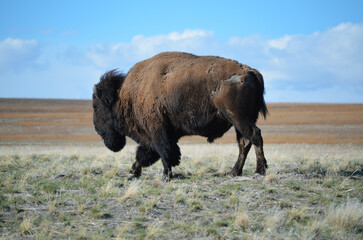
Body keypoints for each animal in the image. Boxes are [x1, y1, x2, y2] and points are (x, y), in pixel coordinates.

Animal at [92, 51, 268, 181]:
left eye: (97, 107)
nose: (97, 129)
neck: (126, 94)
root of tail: (250, 71)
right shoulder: (157, 133)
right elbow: (146, 153)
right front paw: (132, 173)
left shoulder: (157, 129)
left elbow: (164, 152)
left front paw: (165, 176)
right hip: (240, 121)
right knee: (244, 142)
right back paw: (234, 172)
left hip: (238, 118)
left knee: (255, 136)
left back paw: (258, 171)